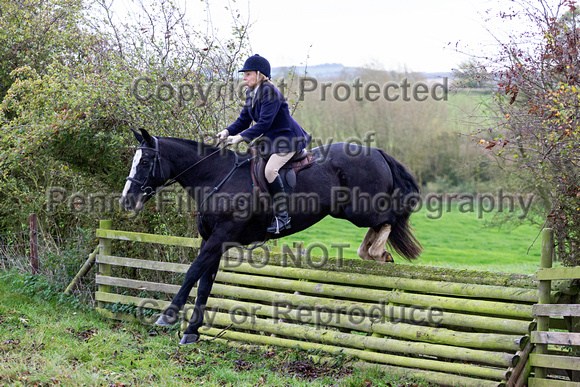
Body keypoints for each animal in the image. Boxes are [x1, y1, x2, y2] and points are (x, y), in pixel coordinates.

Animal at [121, 130, 422, 346]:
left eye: (145, 162)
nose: (126, 201)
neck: (216, 178)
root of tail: (377, 152)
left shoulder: (220, 238)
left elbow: (192, 272)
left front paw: (168, 315)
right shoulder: (211, 241)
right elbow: (205, 283)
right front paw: (192, 332)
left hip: (359, 209)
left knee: (392, 216)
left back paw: (377, 251)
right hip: (347, 210)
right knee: (384, 223)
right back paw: (375, 252)